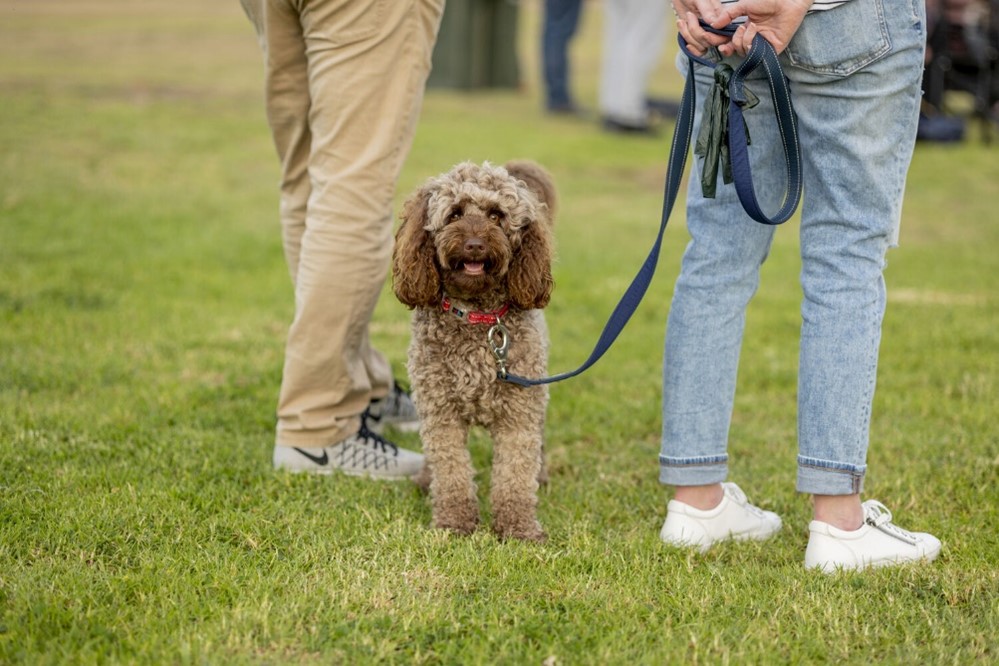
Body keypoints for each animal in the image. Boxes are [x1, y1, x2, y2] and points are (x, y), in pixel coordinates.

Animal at [394, 161, 560, 540]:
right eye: (455, 214)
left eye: (496, 215)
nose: (473, 245)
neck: (476, 317)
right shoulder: (440, 411)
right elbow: (451, 471)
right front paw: (454, 523)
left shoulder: (519, 412)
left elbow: (515, 474)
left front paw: (518, 527)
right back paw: (425, 479)